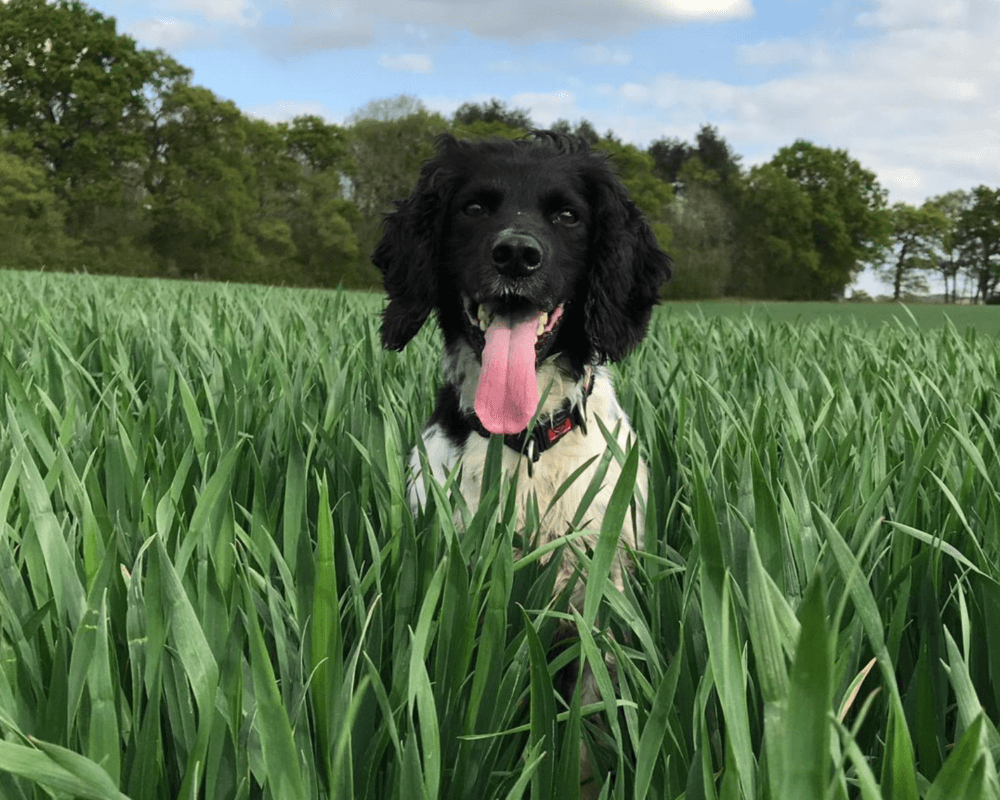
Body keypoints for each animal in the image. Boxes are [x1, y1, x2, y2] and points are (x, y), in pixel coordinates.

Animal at [374, 133, 672, 792]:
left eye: (567, 216)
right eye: (474, 208)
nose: (515, 254)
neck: (527, 442)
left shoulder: (600, 599)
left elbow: (587, 733)